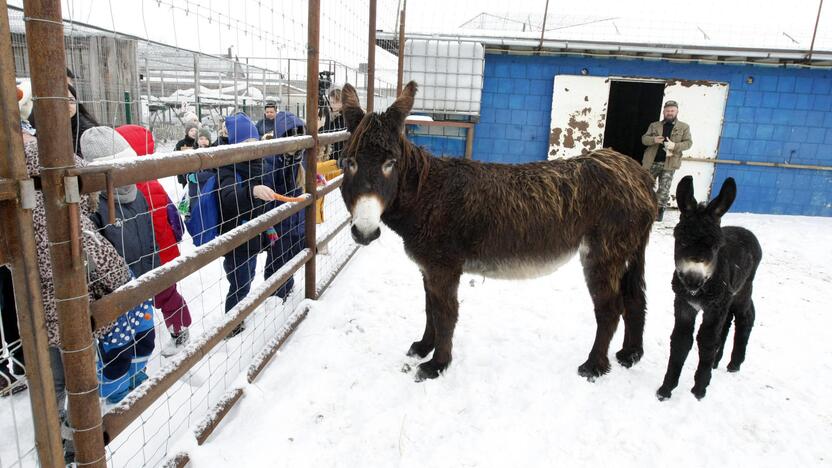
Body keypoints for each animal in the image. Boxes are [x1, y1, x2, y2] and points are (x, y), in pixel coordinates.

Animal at [656, 177, 760, 400]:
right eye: (681, 240)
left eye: (715, 247)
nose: (693, 281)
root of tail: (745, 230)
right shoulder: (684, 304)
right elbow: (681, 341)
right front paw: (666, 390)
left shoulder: (713, 308)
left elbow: (707, 341)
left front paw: (699, 390)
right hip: (727, 299)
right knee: (727, 323)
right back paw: (716, 363)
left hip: (742, 290)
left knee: (746, 315)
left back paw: (734, 364)